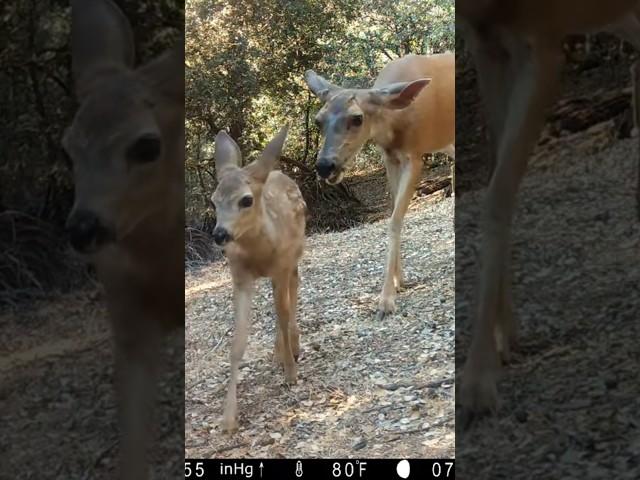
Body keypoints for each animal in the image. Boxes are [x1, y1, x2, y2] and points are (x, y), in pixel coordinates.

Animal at [212, 126, 308, 432]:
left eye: (246, 200)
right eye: (213, 201)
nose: (220, 234)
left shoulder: (281, 265)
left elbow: (283, 313)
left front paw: (291, 373)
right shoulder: (240, 277)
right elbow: (237, 342)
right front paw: (228, 417)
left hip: (294, 256)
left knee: (293, 292)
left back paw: (292, 348)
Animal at [304, 53, 456, 318]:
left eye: (357, 118)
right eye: (318, 120)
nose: (325, 166)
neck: (393, 122)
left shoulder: (415, 155)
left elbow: (394, 220)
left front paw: (386, 300)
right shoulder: (390, 157)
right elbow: (395, 212)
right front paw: (399, 280)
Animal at [460, 0, 640, 428]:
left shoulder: (541, 45)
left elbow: (499, 193)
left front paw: (477, 382)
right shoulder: (484, 44)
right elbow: (495, 174)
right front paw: (506, 335)